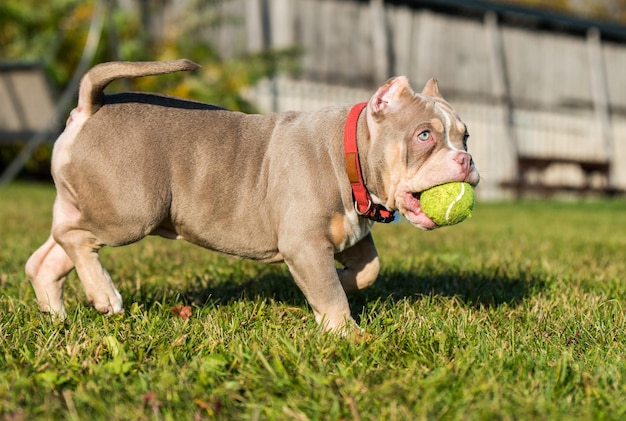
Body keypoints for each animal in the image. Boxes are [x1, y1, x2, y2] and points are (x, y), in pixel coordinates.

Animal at [25, 60, 478, 334]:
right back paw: (104, 295)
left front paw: (343, 283)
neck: (350, 154)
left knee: (51, 252)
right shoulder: (304, 243)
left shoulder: (351, 235)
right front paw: (346, 331)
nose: (467, 160)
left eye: (466, 135)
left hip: (96, 205)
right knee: (75, 237)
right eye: (424, 135)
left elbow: (369, 270)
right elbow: (330, 291)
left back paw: (57, 312)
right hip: (131, 212)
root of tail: (92, 105)